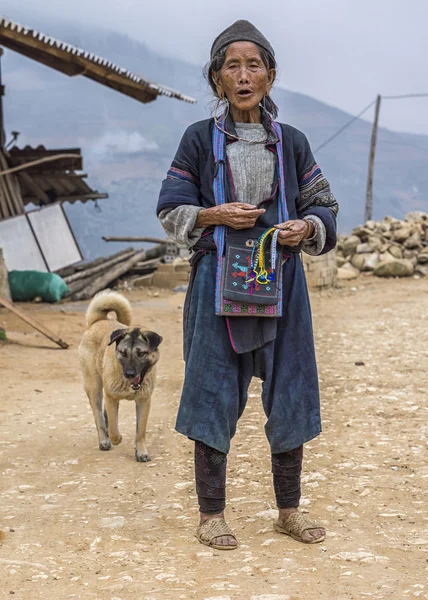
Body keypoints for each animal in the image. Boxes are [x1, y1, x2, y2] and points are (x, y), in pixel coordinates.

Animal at [78, 290, 162, 460]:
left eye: (141, 353)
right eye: (123, 353)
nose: (129, 374)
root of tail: (97, 321)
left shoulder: (144, 402)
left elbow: (140, 431)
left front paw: (141, 451)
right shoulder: (111, 398)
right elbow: (113, 429)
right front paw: (116, 438)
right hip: (94, 388)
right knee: (99, 417)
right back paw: (104, 440)